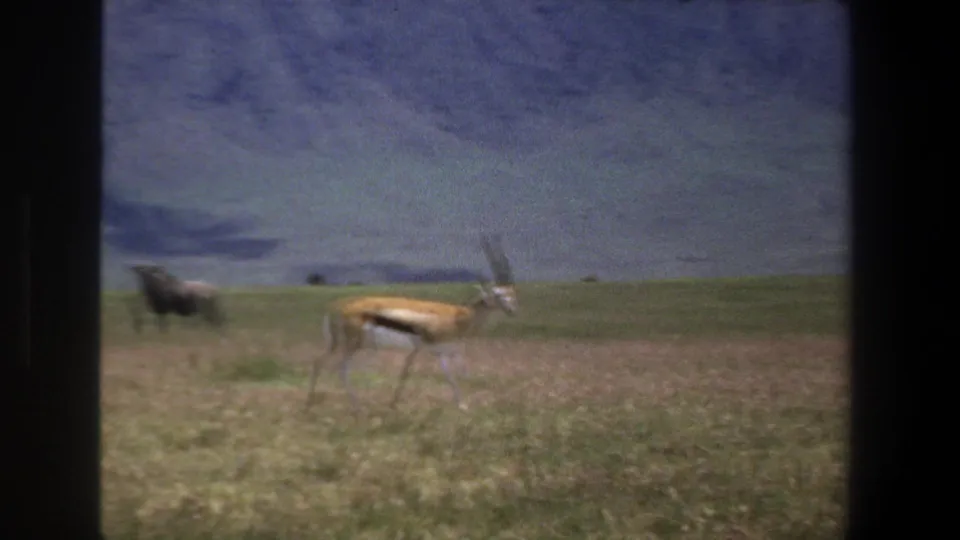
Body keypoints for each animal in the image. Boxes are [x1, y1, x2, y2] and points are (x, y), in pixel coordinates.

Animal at [305, 235, 518, 412]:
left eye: (512, 293)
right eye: (498, 295)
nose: (512, 311)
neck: (457, 316)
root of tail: (338, 306)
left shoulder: (437, 350)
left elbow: (445, 374)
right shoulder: (429, 347)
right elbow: (434, 373)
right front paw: (463, 406)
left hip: (339, 344)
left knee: (318, 362)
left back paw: (310, 404)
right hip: (352, 345)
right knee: (341, 369)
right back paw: (356, 408)